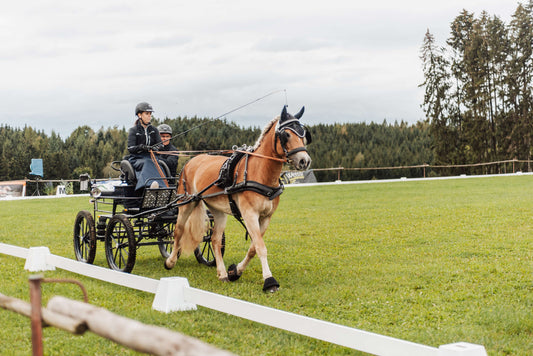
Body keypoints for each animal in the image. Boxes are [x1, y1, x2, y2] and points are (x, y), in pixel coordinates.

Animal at [164, 105, 310, 292]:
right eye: (287, 135)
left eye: (303, 134)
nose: (304, 161)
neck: (260, 172)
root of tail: (192, 161)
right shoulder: (250, 214)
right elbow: (260, 247)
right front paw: (269, 281)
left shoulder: (266, 217)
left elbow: (254, 247)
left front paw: (235, 271)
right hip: (187, 203)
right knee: (178, 231)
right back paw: (170, 261)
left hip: (218, 210)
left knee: (215, 240)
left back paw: (222, 274)